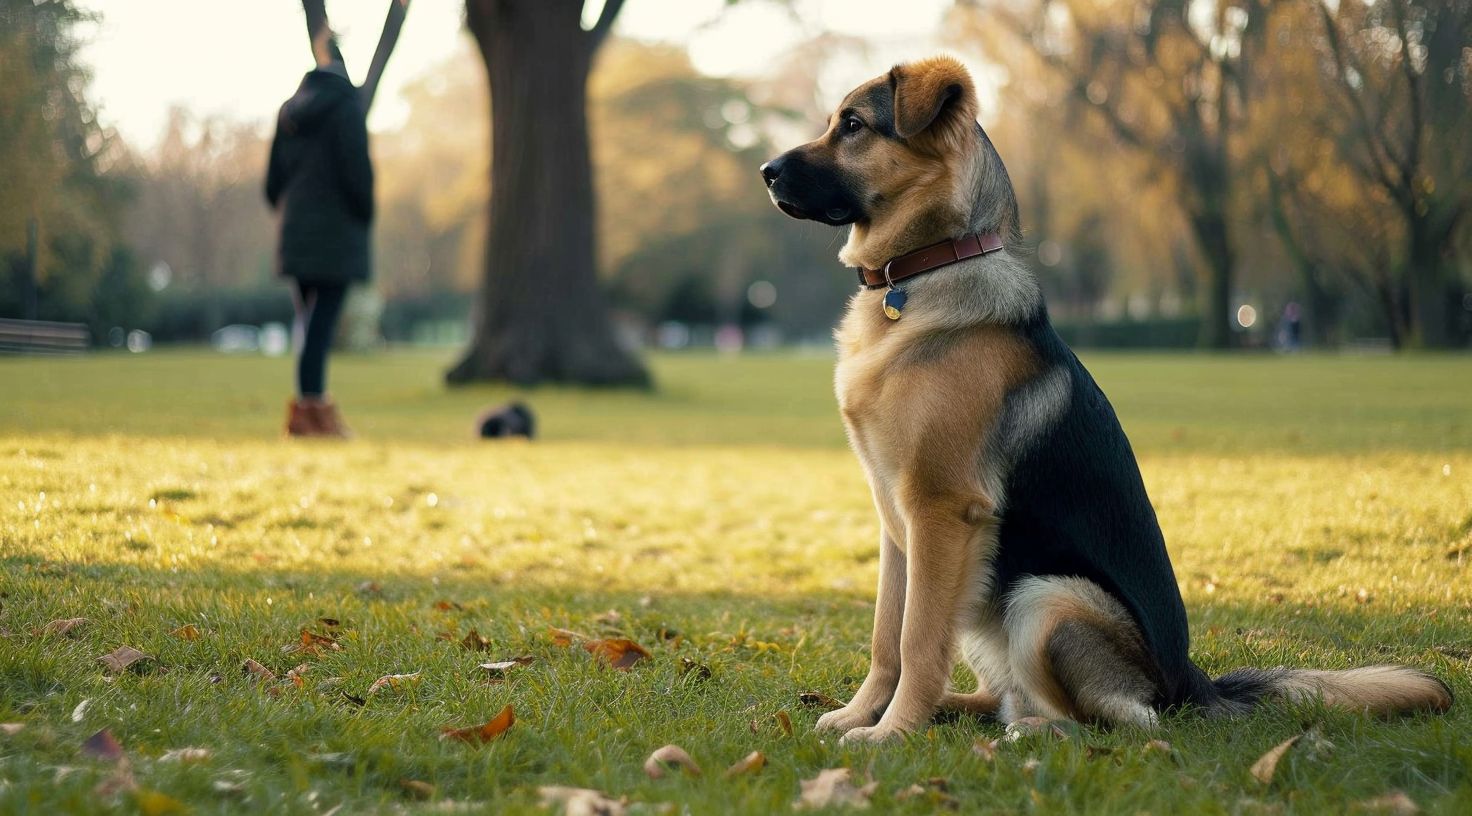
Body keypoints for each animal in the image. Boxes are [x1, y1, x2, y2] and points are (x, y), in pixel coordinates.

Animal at [765, 58, 1454, 742]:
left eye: (854, 126)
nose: (766, 171)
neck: (927, 269)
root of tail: (1190, 683)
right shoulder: (898, 524)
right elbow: (887, 635)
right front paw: (866, 714)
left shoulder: (940, 511)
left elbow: (916, 640)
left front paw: (891, 734)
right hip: (991, 601)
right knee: (1005, 696)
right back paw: (959, 710)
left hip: (1046, 599)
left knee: (1120, 721)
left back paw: (1028, 731)